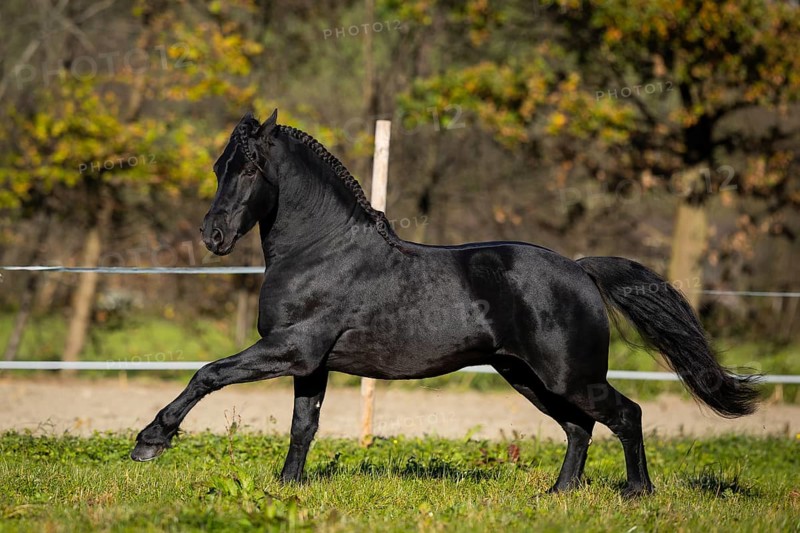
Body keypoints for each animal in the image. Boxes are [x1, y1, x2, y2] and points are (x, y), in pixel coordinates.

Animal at [130, 110, 760, 496]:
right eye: (220, 166)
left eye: (252, 167)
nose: (213, 236)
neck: (321, 250)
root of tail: (579, 270)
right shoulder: (311, 364)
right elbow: (302, 427)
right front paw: (289, 486)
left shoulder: (290, 349)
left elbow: (209, 374)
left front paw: (150, 441)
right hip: (527, 376)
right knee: (580, 427)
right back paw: (559, 493)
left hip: (569, 375)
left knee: (624, 415)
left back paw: (635, 492)